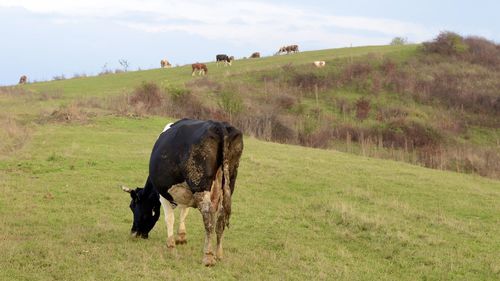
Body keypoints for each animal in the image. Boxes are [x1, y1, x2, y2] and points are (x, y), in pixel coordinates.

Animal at [123, 117, 244, 264]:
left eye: (133, 206)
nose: (134, 233)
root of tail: (219, 125)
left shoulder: (163, 194)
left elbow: (169, 218)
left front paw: (171, 246)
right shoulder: (186, 192)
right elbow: (184, 211)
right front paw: (181, 237)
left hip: (199, 185)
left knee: (208, 216)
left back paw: (208, 256)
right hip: (228, 183)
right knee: (220, 218)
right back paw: (219, 254)